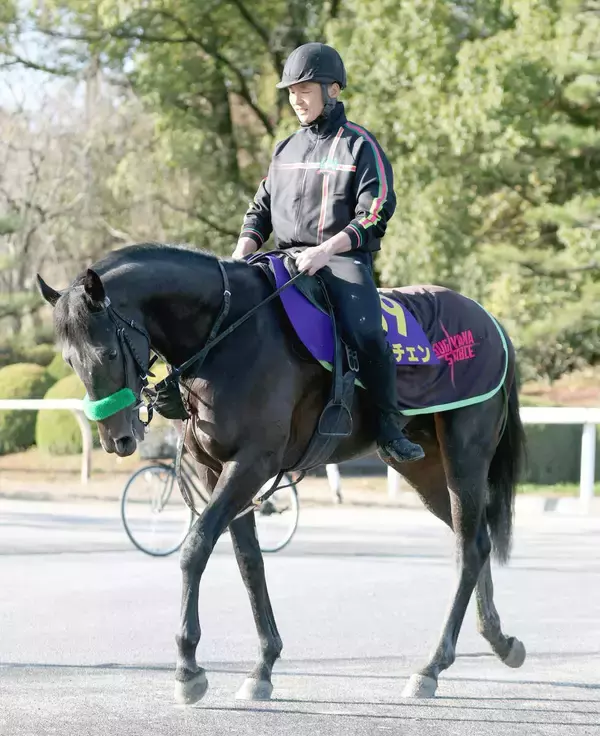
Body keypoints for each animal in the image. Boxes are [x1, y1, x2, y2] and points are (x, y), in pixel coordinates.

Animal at [37, 242, 526, 704]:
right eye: (69, 361)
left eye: (107, 352)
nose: (116, 437)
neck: (228, 334)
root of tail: (490, 321)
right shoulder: (217, 470)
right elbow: (249, 562)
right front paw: (263, 666)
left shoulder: (252, 463)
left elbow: (196, 548)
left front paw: (188, 667)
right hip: (424, 468)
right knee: (476, 541)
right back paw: (499, 641)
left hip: (464, 457)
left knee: (468, 547)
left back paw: (432, 665)